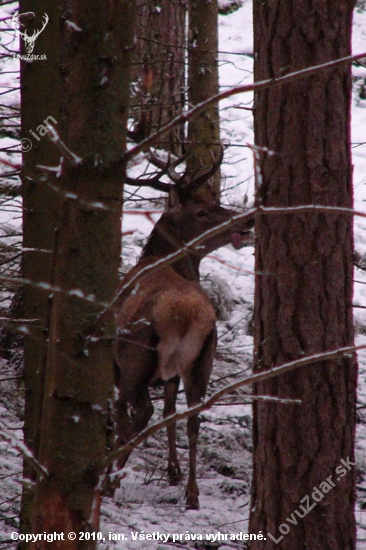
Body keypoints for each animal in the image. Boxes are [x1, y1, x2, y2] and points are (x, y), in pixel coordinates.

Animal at [112, 149, 254, 512]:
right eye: (203, 210)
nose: (247, 220)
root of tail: (187, 316)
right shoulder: (174, 372)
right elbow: (171, 411)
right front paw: (173, 472)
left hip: (135, 355)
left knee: (139, 411)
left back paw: (110, 480)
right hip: (204, 357)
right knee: (193, 418)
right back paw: (192, 493)